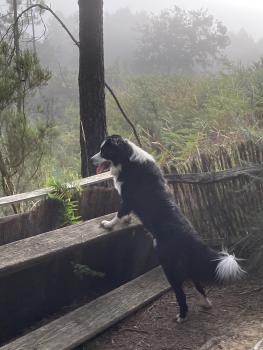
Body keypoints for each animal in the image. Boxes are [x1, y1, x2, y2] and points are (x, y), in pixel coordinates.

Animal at [91, 135, 245, 322]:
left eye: (104, 150)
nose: (91, 160)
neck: (127, 158)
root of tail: (191, 238)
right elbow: (124, 215)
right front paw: (125, 220)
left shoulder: (127, 199)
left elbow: (118, 214)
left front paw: (107, 224)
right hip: (186, 265)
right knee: (198, 284)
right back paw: (206, 303)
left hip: (169, 267)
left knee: (181, 294)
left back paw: (182, 316)